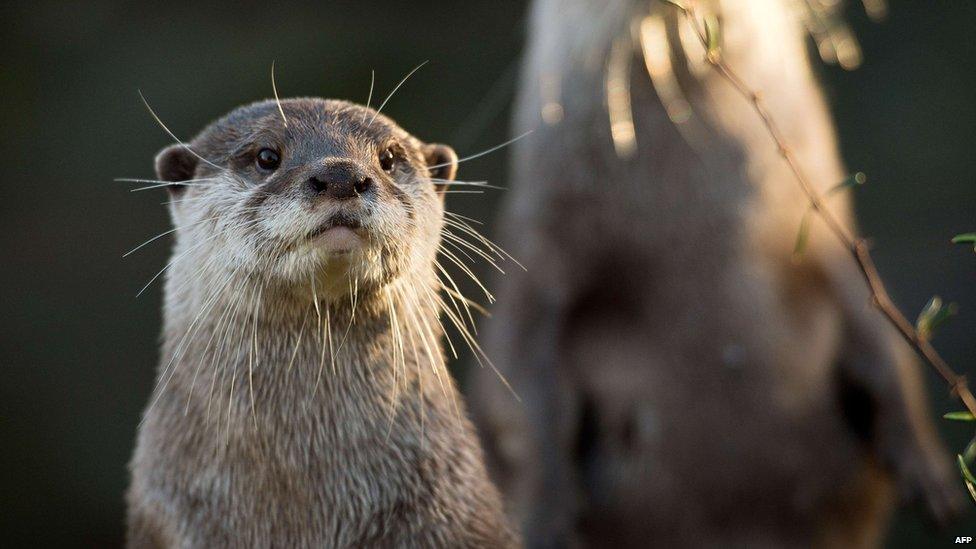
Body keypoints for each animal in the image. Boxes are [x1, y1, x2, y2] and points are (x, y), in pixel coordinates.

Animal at [470, 1, 960, 544]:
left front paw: (932, 474)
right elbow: (518, 398)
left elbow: (885, 336)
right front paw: (540, 520)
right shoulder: (538, 257)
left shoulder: (831, 241)